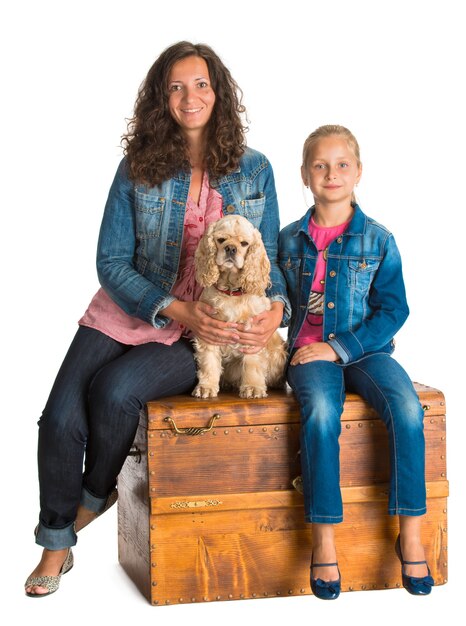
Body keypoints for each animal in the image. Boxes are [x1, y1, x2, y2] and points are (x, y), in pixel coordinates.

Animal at [190, 214, 286, 398]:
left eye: (244, 243)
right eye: (221, 240)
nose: (230, 249)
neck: (231, 291)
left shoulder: (252, 334)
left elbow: (252, 364)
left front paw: (253, 387)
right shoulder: (208, 331)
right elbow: (208, 362)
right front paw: (206, 387)